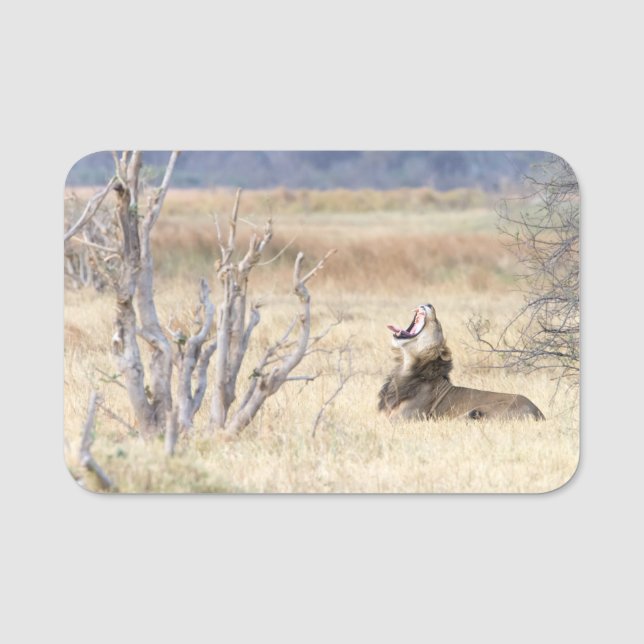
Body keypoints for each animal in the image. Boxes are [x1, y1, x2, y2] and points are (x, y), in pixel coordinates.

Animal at [378, 304, 545, 421]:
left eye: (437, 323)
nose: (429, 304)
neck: (406, 367)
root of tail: (539, 413)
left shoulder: (402, 419)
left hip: (479, 410)